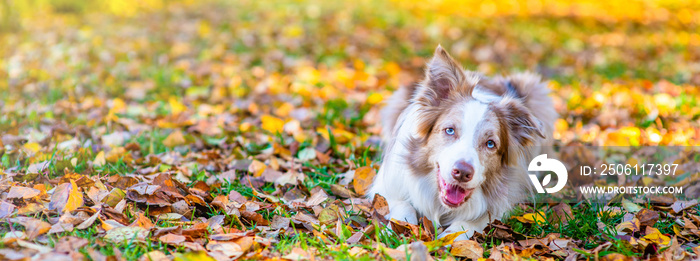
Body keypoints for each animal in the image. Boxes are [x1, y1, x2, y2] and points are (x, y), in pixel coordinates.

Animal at [370, 45, 556, 240]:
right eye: (450, 130)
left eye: (490, 143)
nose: (462, 173)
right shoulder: (385, 186)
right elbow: (403, 204)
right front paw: (393, 230)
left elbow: (470, 222)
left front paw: (448, 239)